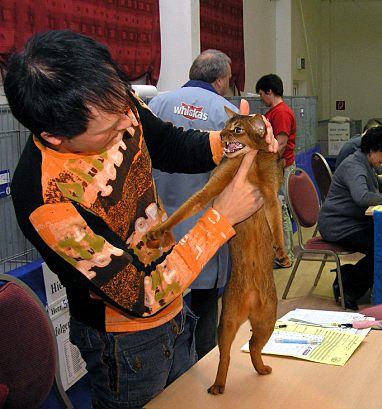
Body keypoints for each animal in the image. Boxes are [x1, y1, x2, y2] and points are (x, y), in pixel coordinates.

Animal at [146, 107, 290, 392]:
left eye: (237, 129)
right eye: (224, 126)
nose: (221, 136)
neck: (249, 162)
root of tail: (251, 301)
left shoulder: (270, 195)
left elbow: (277, 226)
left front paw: (282, 253)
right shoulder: (214, 187)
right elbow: (185, 209)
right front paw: (160, 230)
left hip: (268, 321)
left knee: (254, 346)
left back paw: (261, 369)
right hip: (227, 322)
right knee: (226, 354)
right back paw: (218, 385)